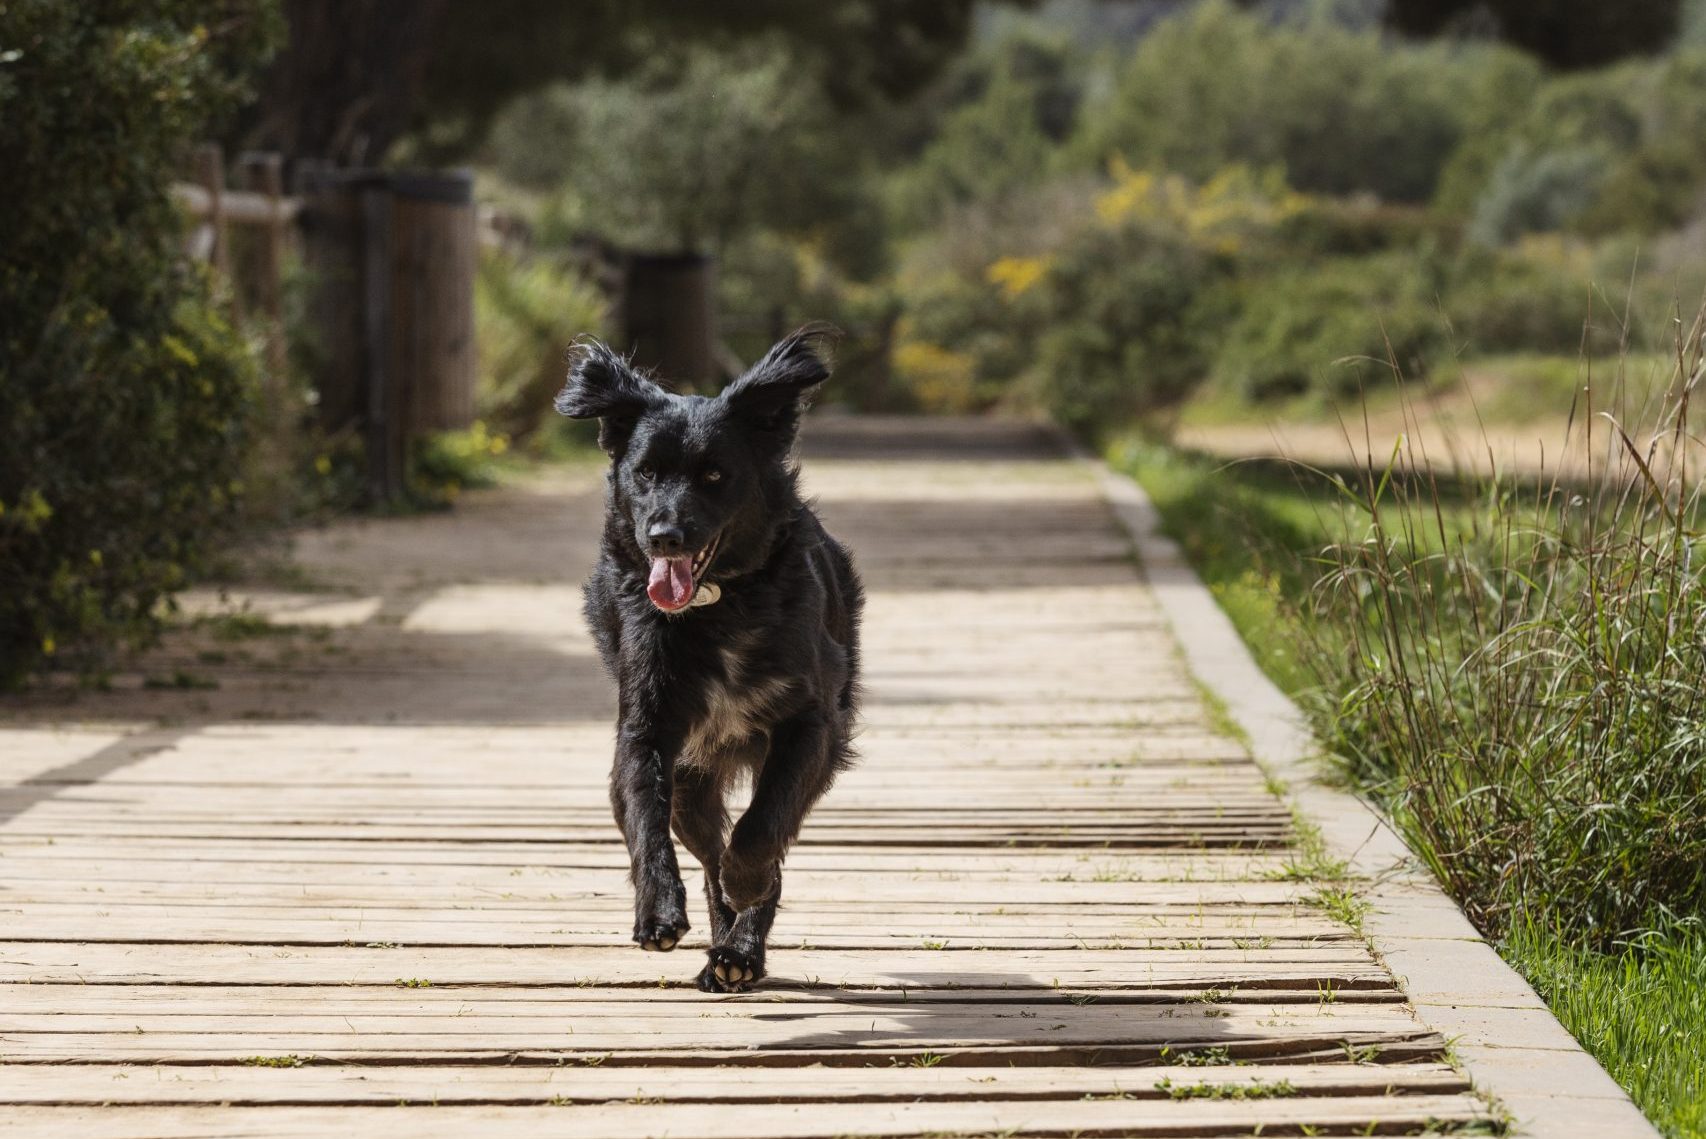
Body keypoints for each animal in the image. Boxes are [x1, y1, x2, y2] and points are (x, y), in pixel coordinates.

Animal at [556, 327, 859, 988]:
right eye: (645, 472)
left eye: (715, 474)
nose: (663, 536)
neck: (718, 608)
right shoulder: (645, 730)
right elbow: (646, 820)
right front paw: (658, 911)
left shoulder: (809, 726)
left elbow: (762, 825)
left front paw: (748, 882)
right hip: (692, 783)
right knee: (703, 848)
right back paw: (727, 947)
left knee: (756, 841)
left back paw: (741, 948)